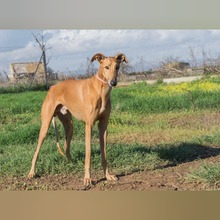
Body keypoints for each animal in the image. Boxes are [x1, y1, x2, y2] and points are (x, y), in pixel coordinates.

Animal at [27, 52, 128, 186]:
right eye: (106, 67)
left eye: (117, 67)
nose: (113, 82)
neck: (100, 89)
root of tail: (52, 87)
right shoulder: (89, 125)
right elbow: (88, 154)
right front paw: (87, 178)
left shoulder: (103, 126)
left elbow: (104, 154)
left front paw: (107, 175)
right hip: (45, 125)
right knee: (36, 151)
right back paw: (32, 172)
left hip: (69, 126)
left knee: (66, 146)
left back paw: (71, 163)